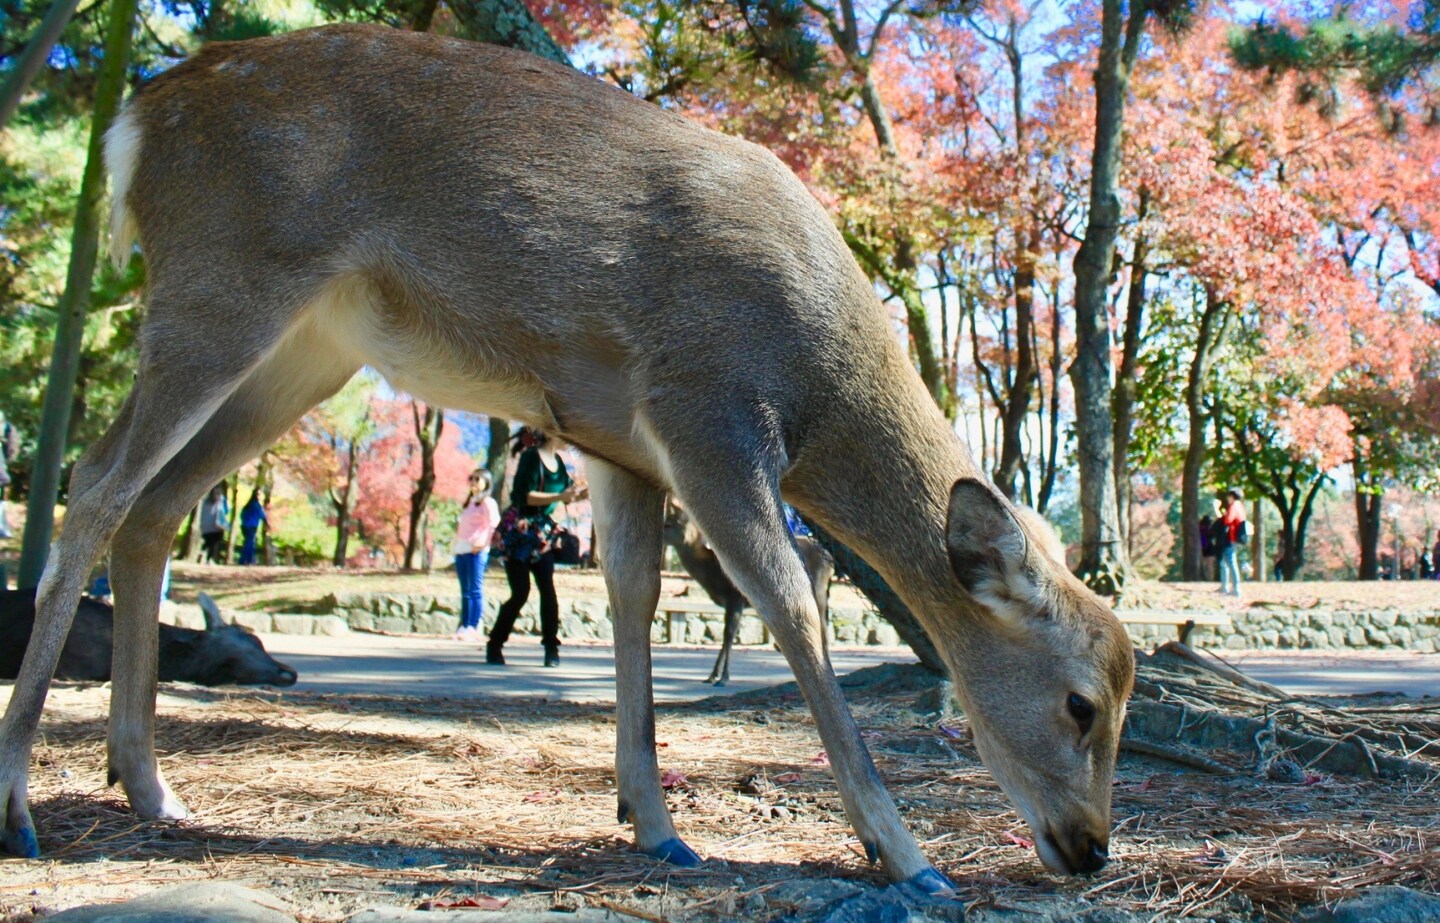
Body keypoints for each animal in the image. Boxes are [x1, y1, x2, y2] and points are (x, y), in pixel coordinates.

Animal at [662, 503, 835, 685]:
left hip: (819, 588)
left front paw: (723, 677)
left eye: (668, 524)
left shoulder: (736, 599)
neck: (713, 575)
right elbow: (726, 635)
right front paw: (712, 675)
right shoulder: (730, 603)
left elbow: (728, 635)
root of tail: (830, 560)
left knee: (822, 623)